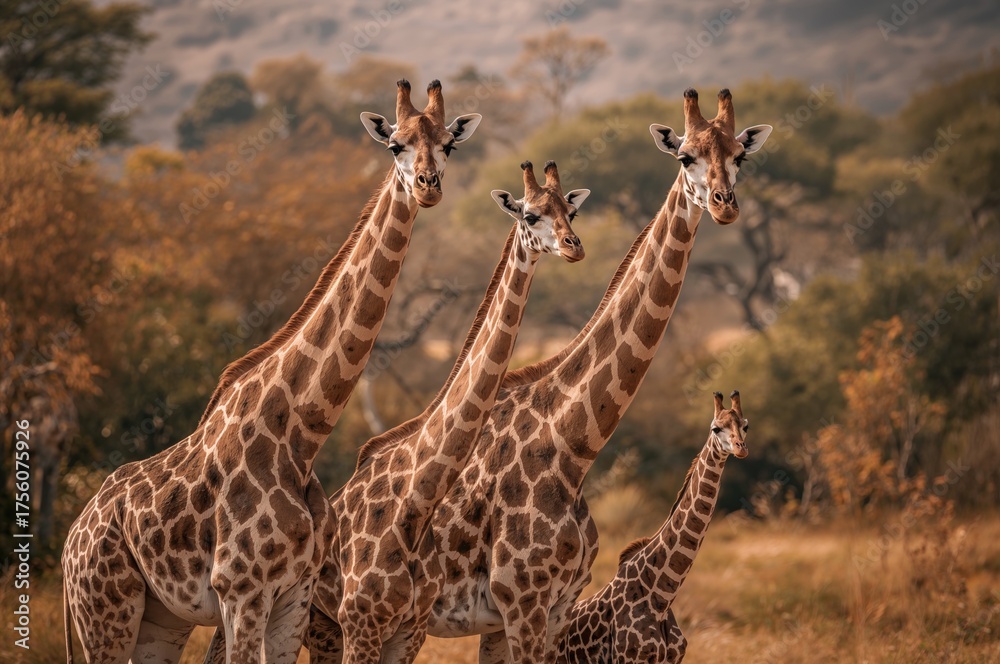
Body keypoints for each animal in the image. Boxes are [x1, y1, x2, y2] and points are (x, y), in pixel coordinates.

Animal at [61, 79, 481, 664]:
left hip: (159, 619)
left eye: (449, 145)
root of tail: (68, 544)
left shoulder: (293, 596)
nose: (427, 187)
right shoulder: (242, 590)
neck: (301, 436)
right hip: (105, 611)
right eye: (395, 144)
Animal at [298, 160, 591, 664]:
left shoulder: (409, 628)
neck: (413, 503)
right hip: (318, 623)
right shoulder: (362, 622)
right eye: (530, 215)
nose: (574, 246)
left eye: (570, 211)